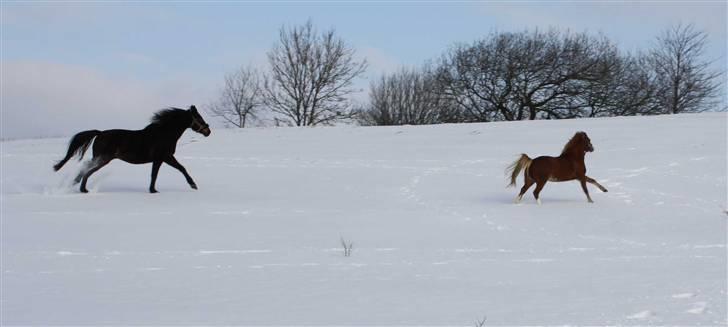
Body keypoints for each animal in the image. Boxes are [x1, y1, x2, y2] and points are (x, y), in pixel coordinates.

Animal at [51, 105, 209, 193]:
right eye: (199, 118)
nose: (208, 131)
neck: (164, 133)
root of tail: (99, 133)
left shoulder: (163, 158)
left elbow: (166, 172)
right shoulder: (164, 157)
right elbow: (173, 170)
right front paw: (193, 185)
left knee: (85, 169)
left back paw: (78, 186)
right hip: (103, 159)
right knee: (87, 170)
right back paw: (83, 189)